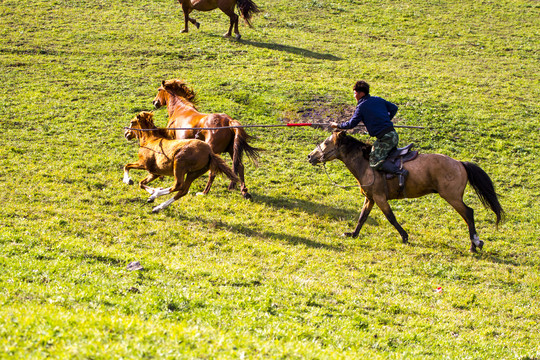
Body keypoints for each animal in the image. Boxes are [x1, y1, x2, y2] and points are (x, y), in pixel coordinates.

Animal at [310, 131, 504, 252]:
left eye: (326, 143)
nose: (310, 156)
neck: (366, 164)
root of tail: (460, 163)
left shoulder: (380, 198)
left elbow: (391, 217)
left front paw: (404, 236)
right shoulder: (370, 198)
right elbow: (362, 217)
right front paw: (353, 234)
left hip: (452, 197)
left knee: (468, 213)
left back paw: (474, 244)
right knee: (466, 216)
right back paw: (474, 244)